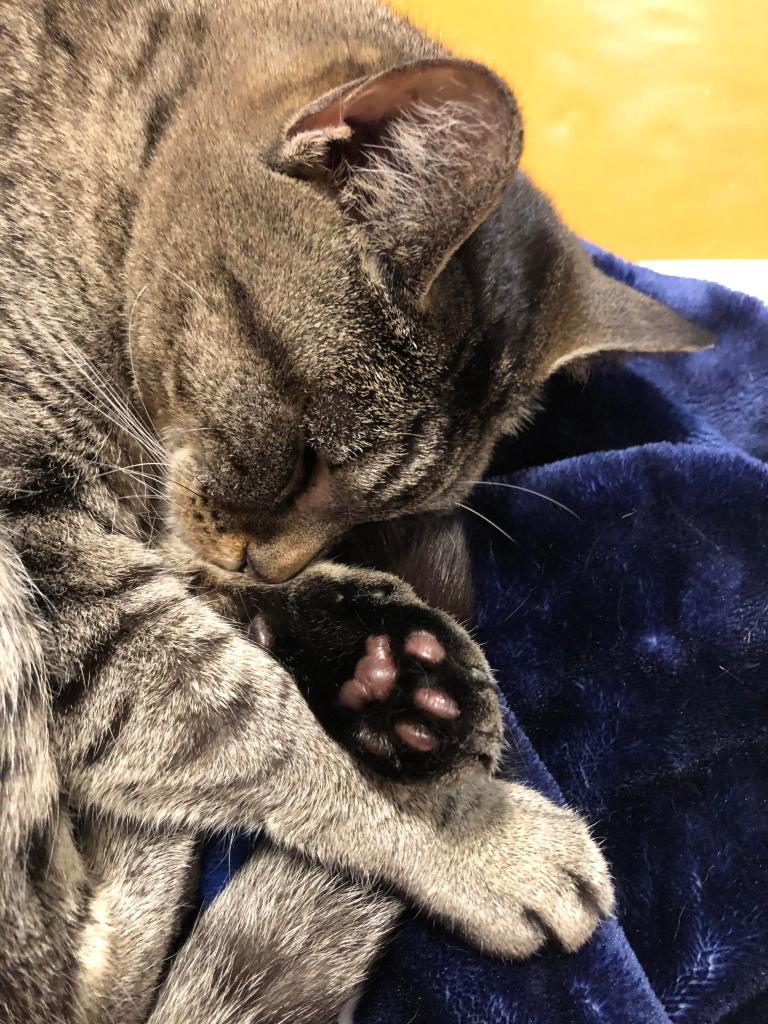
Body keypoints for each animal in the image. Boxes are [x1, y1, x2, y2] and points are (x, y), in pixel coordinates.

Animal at [0, 0, 708, 1019]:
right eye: (303, 462)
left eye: (356, 504)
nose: (275, 562)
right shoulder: (39, 537)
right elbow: (237, 719)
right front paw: (472, 833)